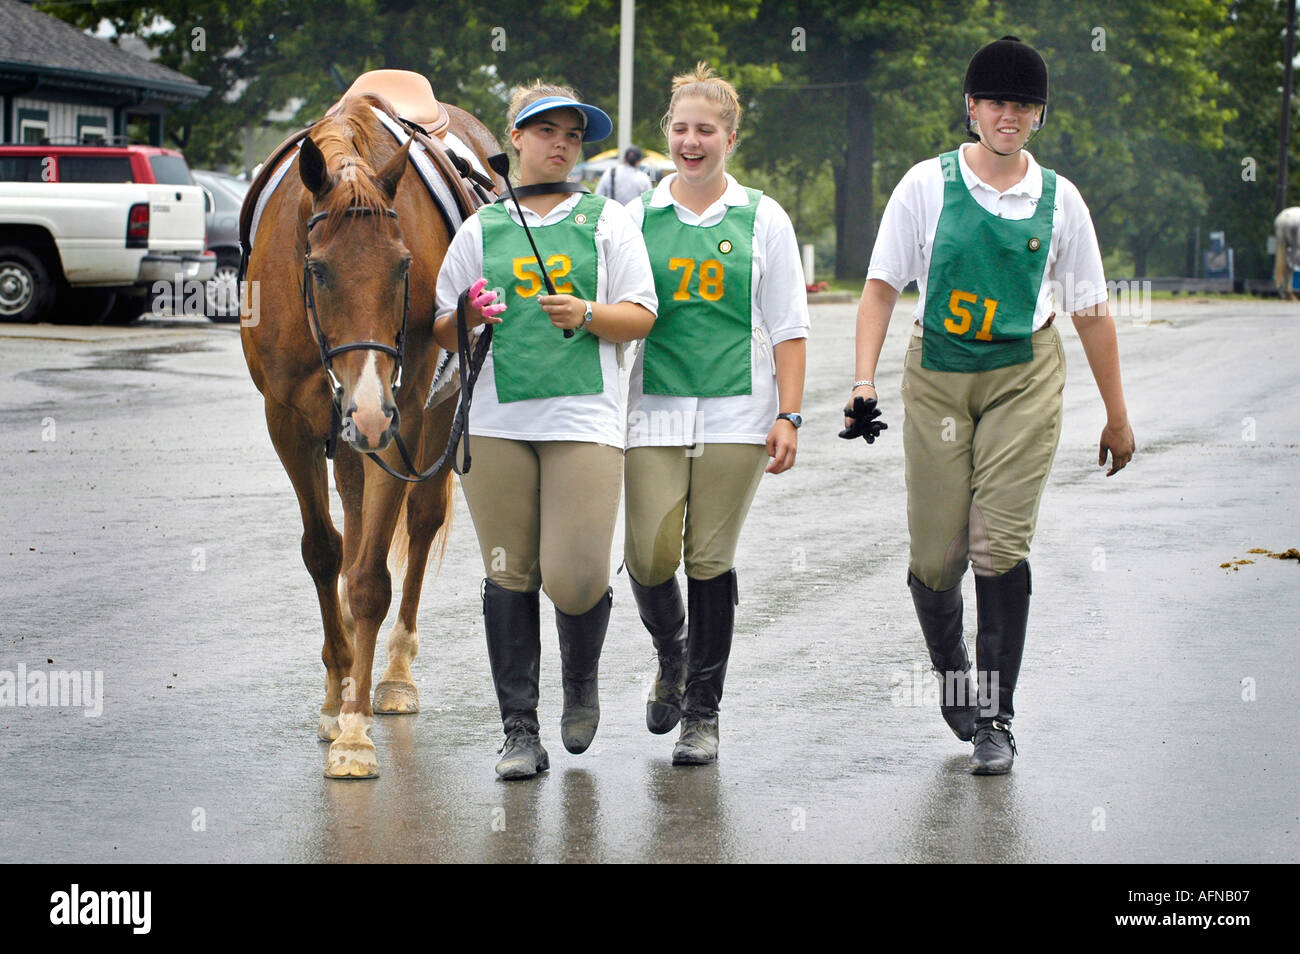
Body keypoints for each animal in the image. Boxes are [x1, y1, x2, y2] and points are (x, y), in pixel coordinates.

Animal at [240, 92, 500, 778]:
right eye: (319, 269)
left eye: (404, 267)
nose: (368, 410)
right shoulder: (288, 421)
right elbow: (324, 552)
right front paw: (337, 699)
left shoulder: (398, 414)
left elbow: (369, 579)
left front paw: (355, 731)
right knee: (351, 525)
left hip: (429, 410)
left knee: (421, 520)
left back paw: (394, 674)